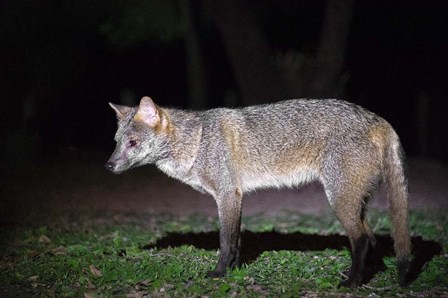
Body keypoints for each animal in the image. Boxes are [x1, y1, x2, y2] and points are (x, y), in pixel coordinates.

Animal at [104, 96, 410, 288]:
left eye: (133, 143)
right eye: (117, 142)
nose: (108, 166)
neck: (198, 141)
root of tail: (378, 119)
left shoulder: (227, 195)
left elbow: (226, 242)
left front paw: (218, 273)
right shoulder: (236, 197)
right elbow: (237, 242)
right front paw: (235, 272)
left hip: (340, 200)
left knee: (361, 239)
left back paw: (352, 283)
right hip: (356, 202)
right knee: (371, 238)